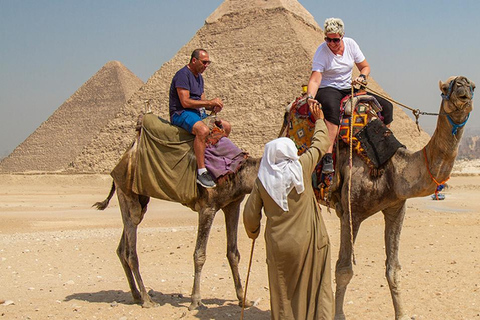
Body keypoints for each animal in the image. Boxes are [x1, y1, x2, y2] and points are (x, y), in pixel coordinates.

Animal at [93, 129, 258, 310]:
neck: (241, 172)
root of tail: (124, 157)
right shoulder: (207, 207)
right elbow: (199, 255)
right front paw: (195, 301)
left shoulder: (232, 204)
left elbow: (233, 253)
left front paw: (243, 299)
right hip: (127, 192)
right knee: (131, 250)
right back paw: (147, 300)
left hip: (138, 198)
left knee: (123, 247)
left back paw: (136, 295)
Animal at [328, 75, 474, 320]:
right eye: (447, 86)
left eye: (473, 86)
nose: (462, 85)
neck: (391, 168)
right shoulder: (351, 212)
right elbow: (343, 269)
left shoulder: (396, 208)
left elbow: (393, 269)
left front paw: (402, 314)